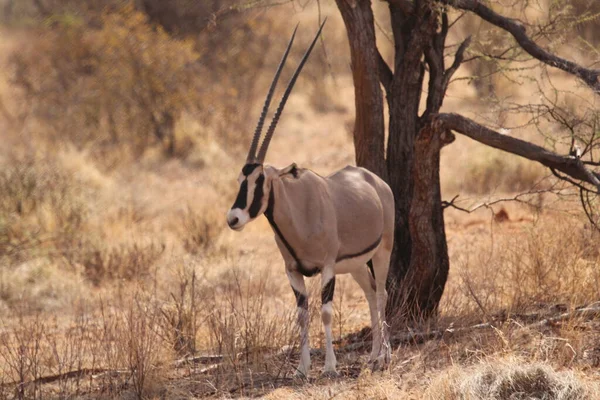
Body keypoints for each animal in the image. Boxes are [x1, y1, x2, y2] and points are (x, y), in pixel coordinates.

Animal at [225, 21, 394, 378]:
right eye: (239, 180)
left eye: (260, 180)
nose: (233, 218)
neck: (298, 215)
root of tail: (375, 181)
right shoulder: (293, 271)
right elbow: (302, 314)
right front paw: (302, 369)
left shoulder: (327, 267)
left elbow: (326, 312)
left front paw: (329, 366)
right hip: (355, 265)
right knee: (371, 293)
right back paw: (374, 355)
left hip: (382, 250)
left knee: (383, 293)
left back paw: (384, 357)